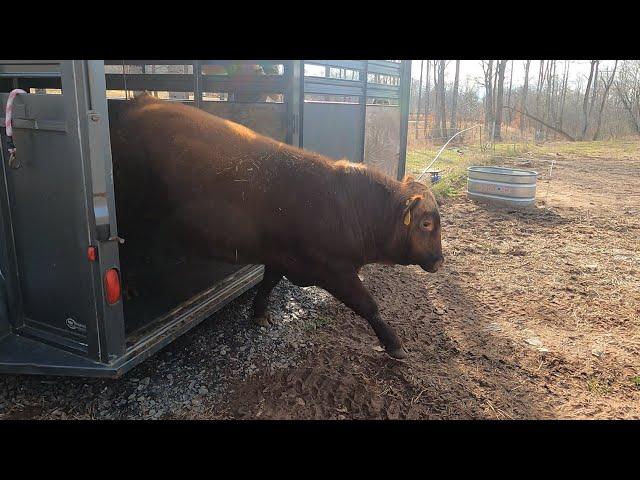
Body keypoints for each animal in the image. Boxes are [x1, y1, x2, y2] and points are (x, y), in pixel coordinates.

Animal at [107, 94, 442, 356]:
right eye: (426, 223)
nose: (439, 260)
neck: (347, 206)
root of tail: (141, 102)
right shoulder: (336, 270)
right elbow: (368, 305)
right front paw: (394, 344)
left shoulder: (281, 256)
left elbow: (268, 283)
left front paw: (259, 314)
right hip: (128, 211)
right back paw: (129, 288)